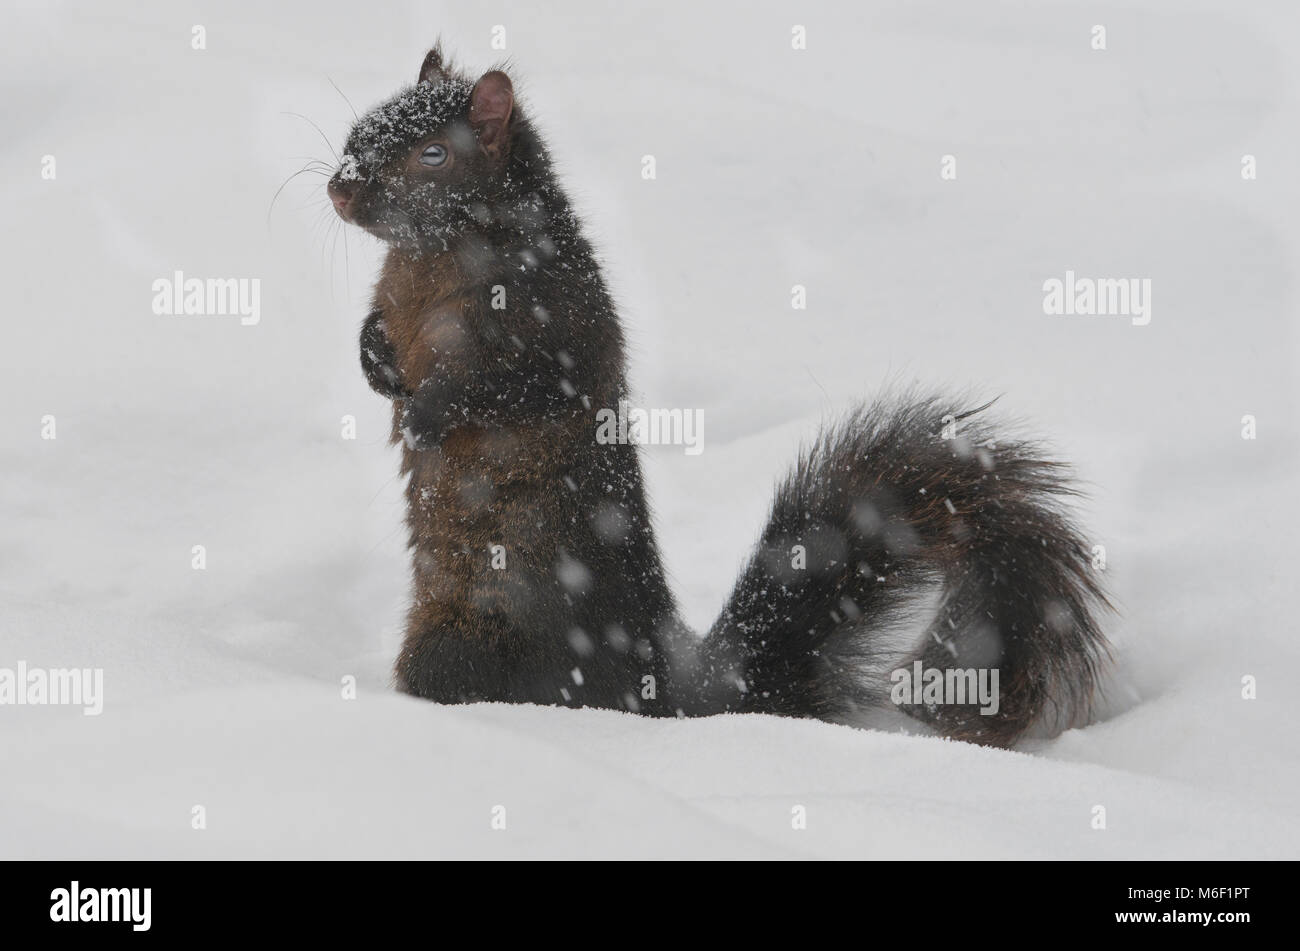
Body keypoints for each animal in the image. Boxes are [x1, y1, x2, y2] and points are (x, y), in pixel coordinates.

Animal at [325, 44, 1107, 748]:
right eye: (359, 128)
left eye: (432, 154)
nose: (338, 187)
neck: (431, 254)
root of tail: (669, 687)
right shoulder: (394, 299)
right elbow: (372, 329)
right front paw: (375, 364)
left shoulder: (555, 328)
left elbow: (508, 388)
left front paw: (426, 414)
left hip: (467, 643)